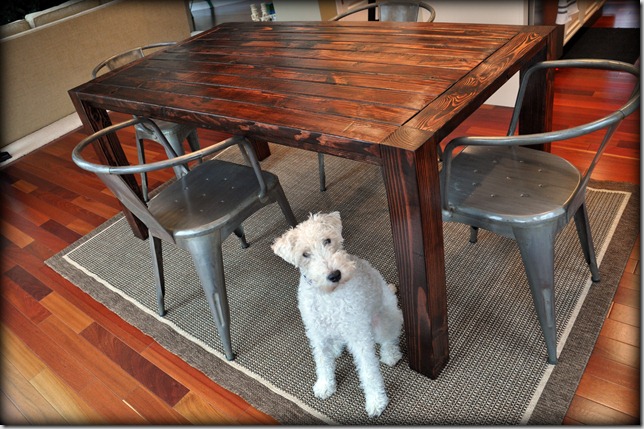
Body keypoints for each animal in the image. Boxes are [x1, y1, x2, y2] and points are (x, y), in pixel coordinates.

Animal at [270, 211, 402, 418]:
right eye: (305, 254)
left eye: (327, 240)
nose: (334, 275)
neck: (329, 296)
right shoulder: (316, 333)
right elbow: (322, 361)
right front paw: (325, 385)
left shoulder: (359, 335)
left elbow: (369, 371)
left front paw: (376, 401)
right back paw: (336, 348)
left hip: (385, 320)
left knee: (389, 338)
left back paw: (390, 354)